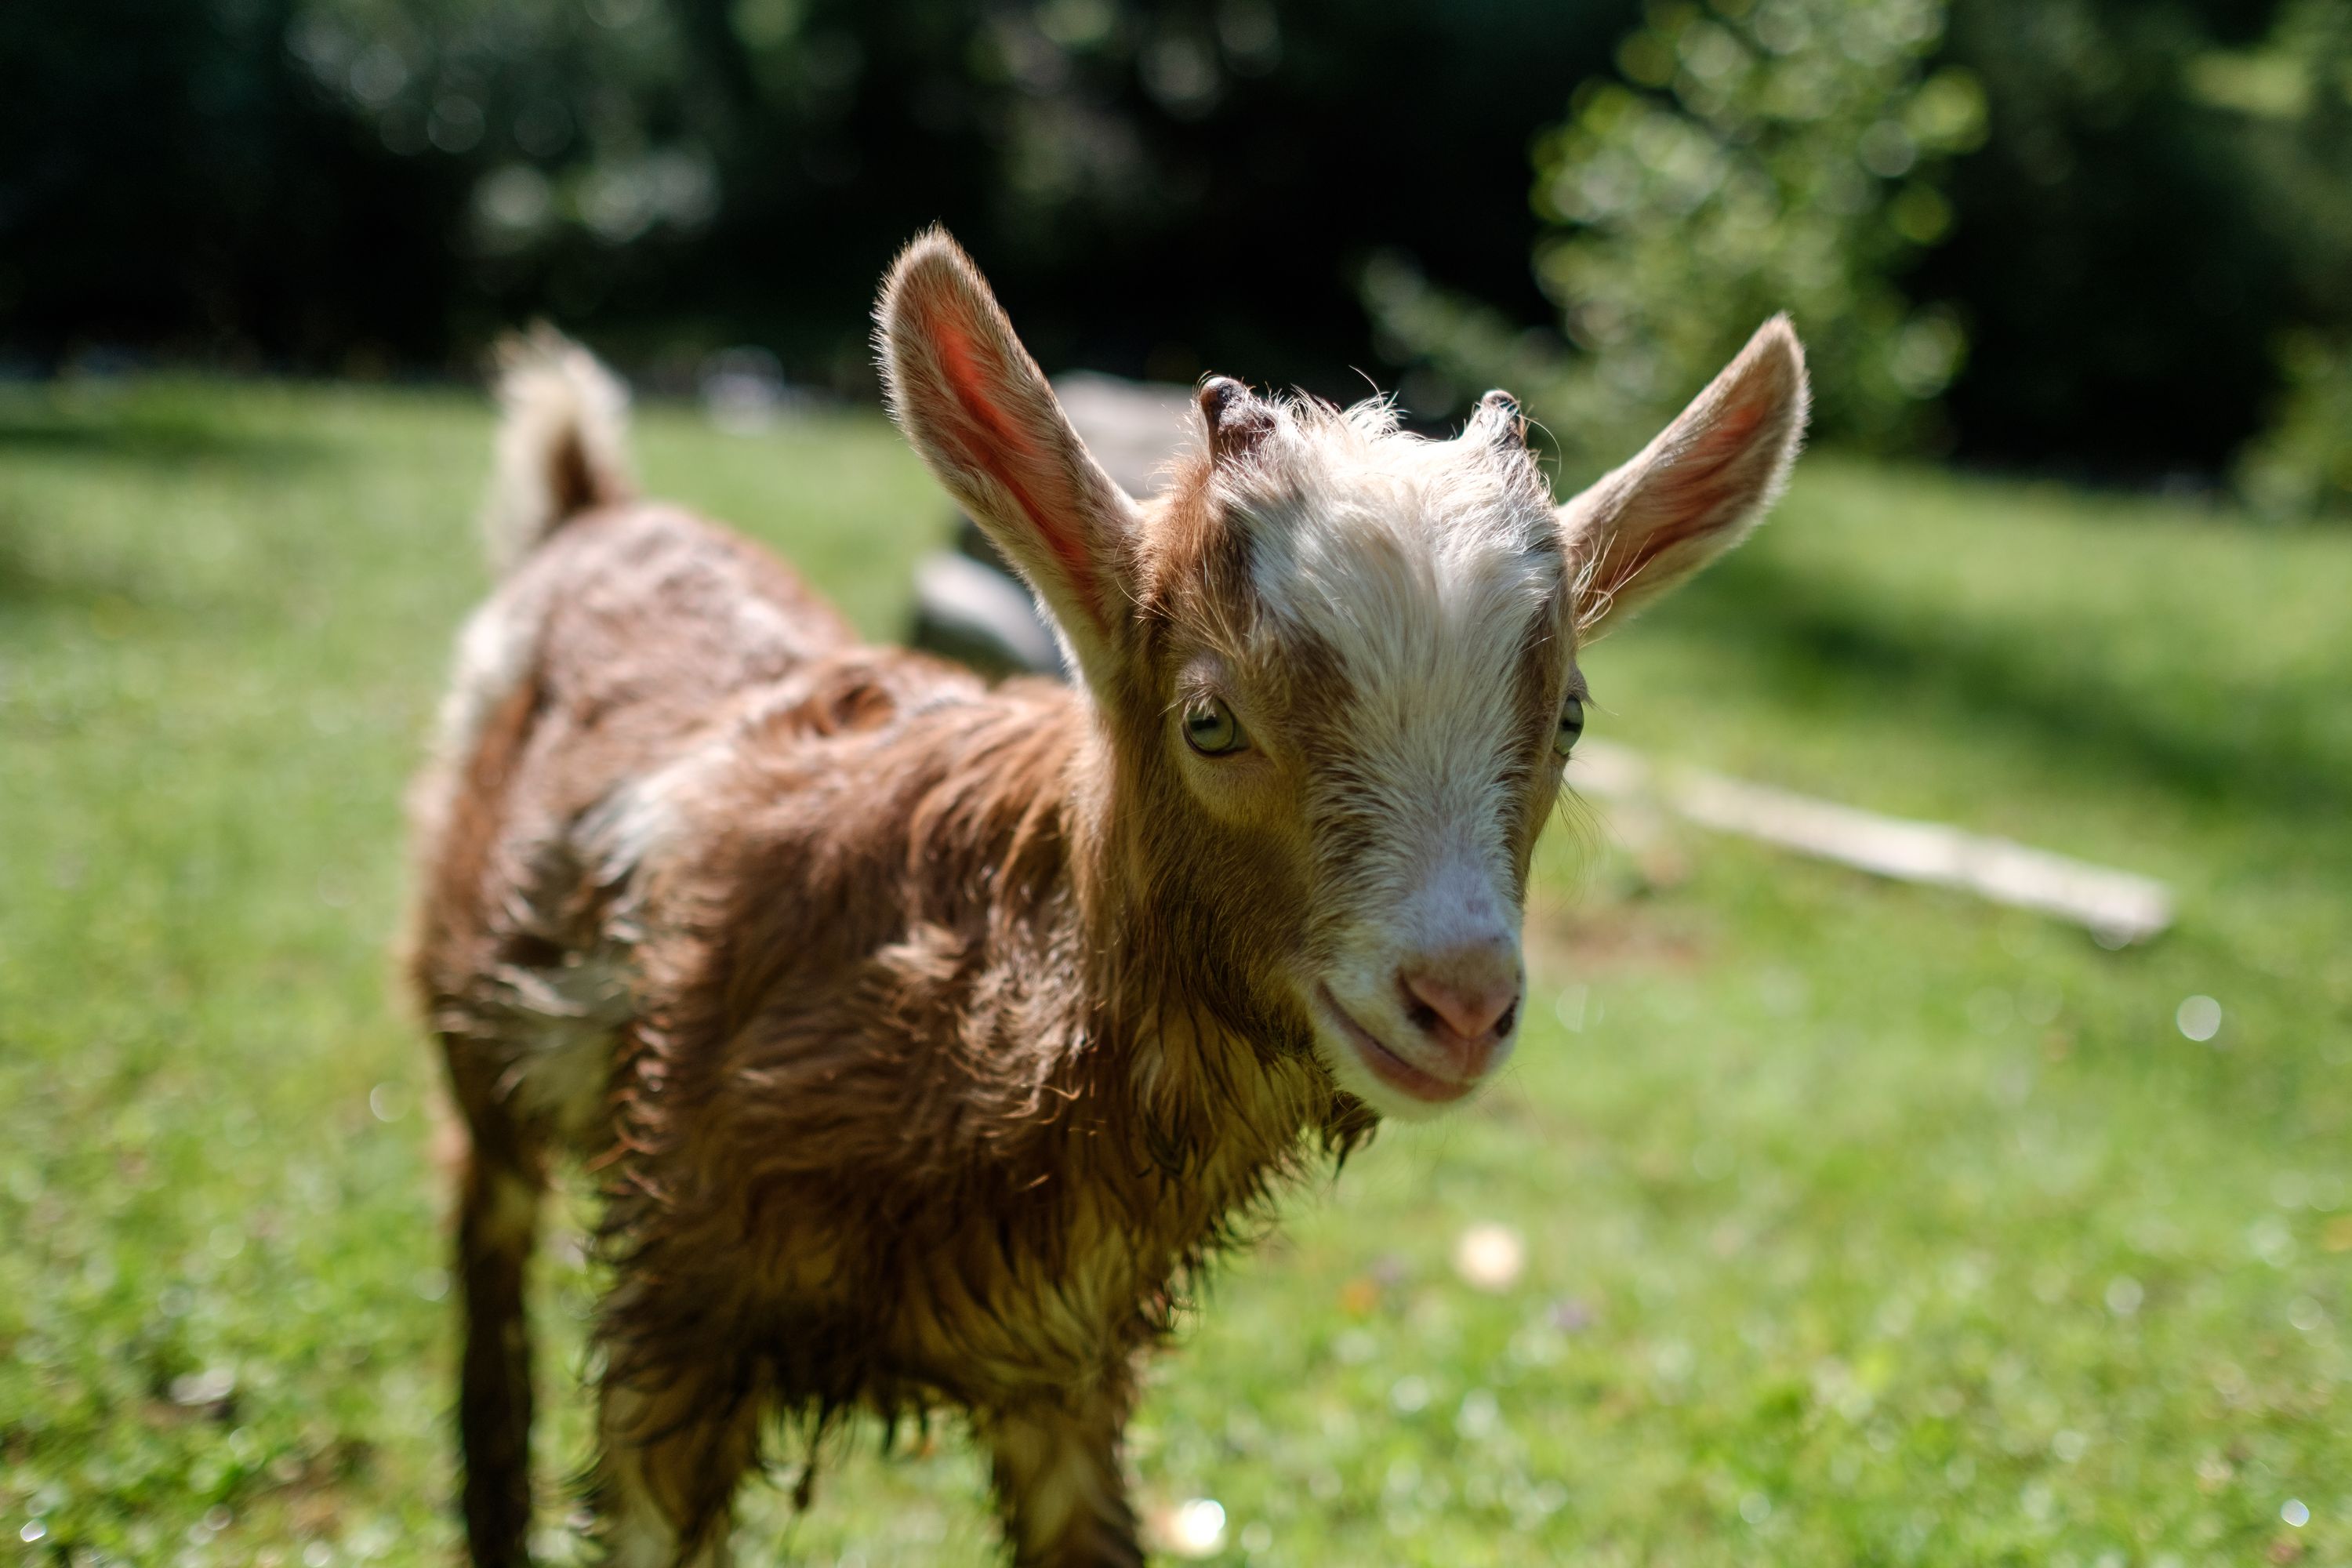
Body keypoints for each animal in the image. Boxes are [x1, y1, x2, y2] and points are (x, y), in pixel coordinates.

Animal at [405, 227, 1806, 1561]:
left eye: (1569, 715)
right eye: (1209, 720)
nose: (1459, 1001)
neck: (960, 1005)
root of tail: (596, 511)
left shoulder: (1065, 1377)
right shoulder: (677, 1330)